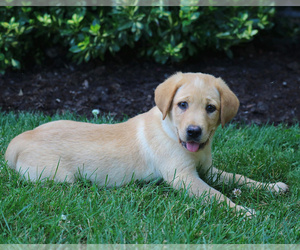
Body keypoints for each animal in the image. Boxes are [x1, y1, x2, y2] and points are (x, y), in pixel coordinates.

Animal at [4, 73, 288, 217]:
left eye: (211, 108)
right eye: (182, 104)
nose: (193, 132)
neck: (171, 132)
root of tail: (18, 140)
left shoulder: (207, 171)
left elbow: (239, 177)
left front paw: (270, 187)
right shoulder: (183, 177)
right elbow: (216, 195)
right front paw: (242, 210)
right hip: (59, 178)